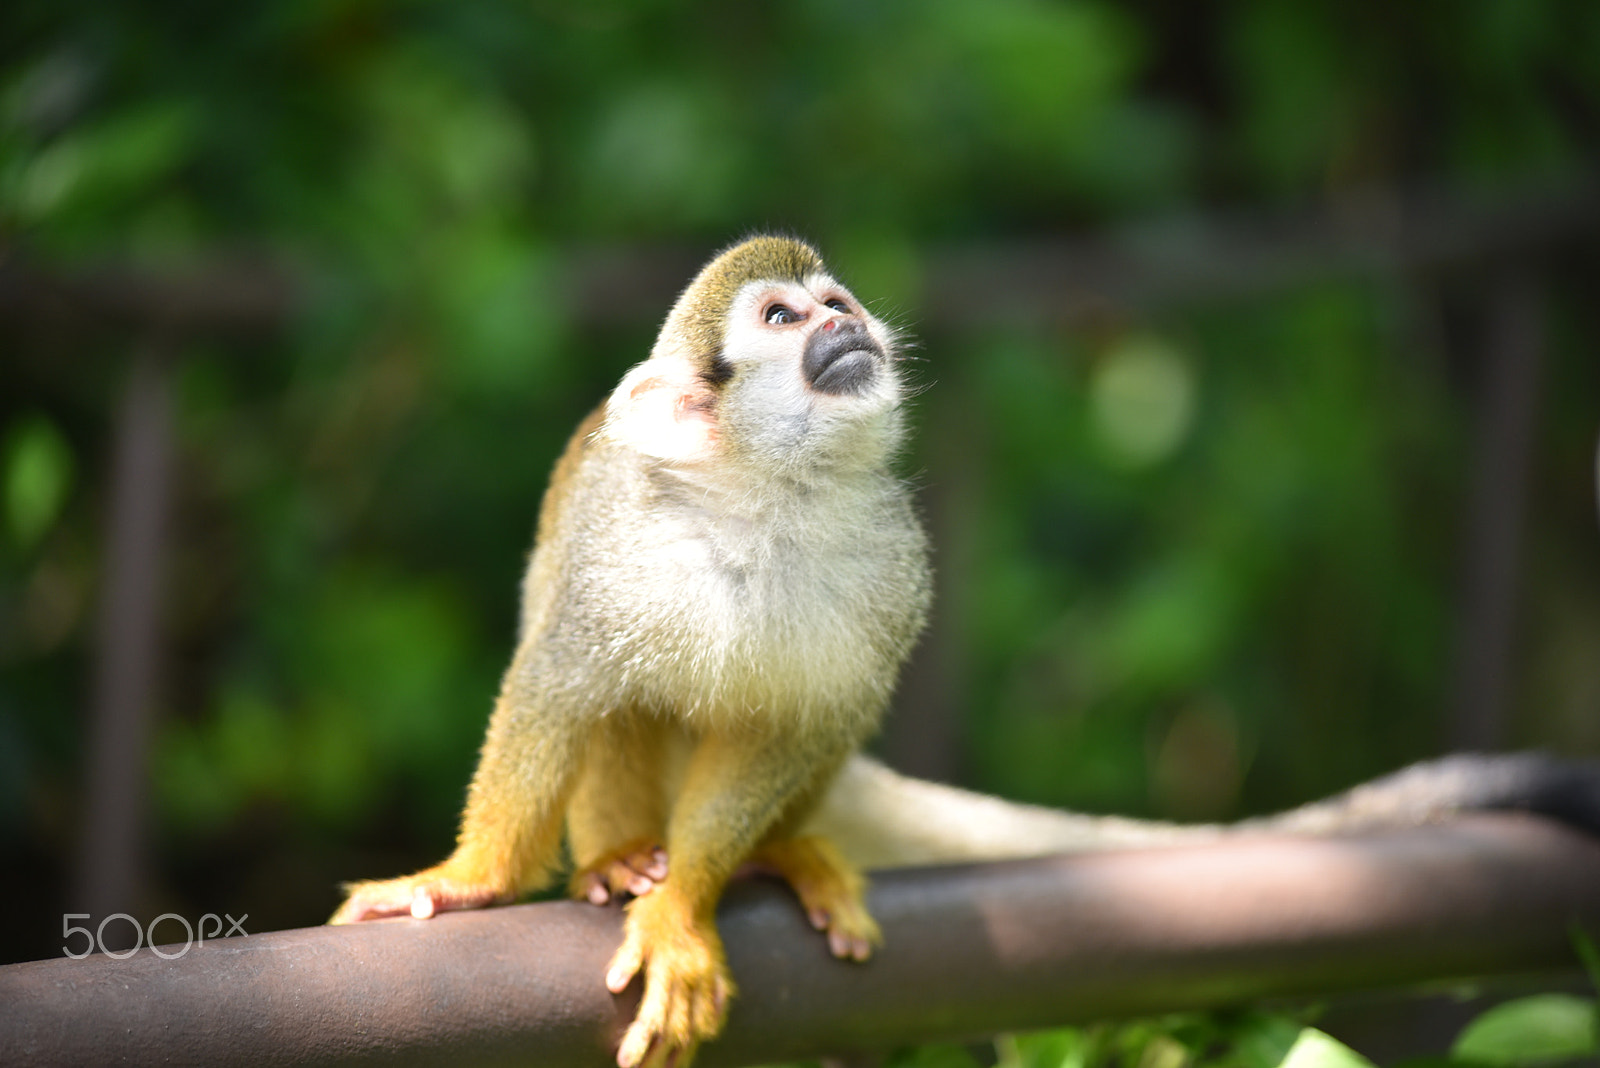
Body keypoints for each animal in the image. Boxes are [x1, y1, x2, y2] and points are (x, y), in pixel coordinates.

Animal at [331, 235, 1600, 1068]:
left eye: (836, 300)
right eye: (784, 319)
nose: (846, 324)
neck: (768, 502)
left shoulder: (893, 570)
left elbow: (801, 724)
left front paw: (686, 902)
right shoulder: (618, 551)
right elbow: (558, 685)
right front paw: (469, 878)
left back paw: (775, 854)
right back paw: (613, 858)